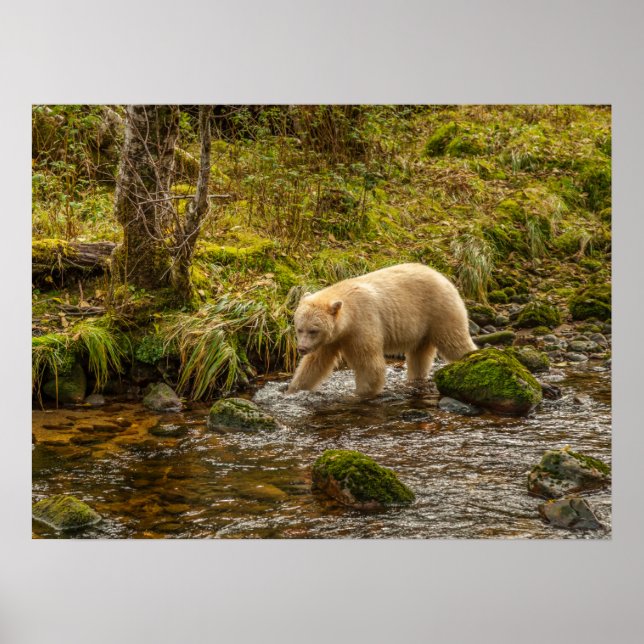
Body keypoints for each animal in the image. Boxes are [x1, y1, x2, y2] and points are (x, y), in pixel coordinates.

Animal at [286, 262, 476, 398]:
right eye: (299, 329)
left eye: (313, 330)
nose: (301, 348)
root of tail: (443, 276)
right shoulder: (332, 339)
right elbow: (314, 364)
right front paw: (293, 390)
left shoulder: (362, 324)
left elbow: (369, 365)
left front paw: (360, 394)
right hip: (423, 328)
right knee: (419, 356)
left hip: (440, 311)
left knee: (454, 342)